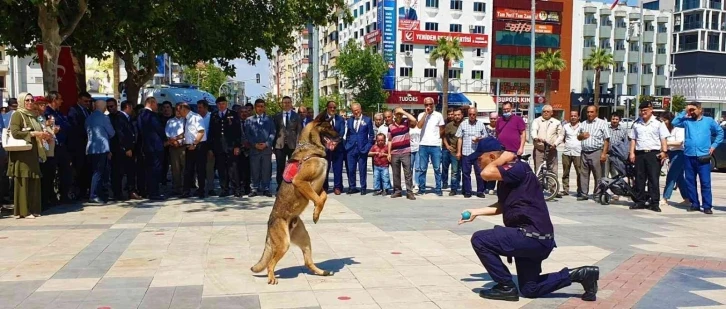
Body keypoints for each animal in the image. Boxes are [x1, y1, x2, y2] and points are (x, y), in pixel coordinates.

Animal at [252, 112, 342, 282]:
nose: (341, 138)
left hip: (305, 239)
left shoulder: (319, 187)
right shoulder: (300, 182)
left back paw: (321, 272)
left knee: (308, 262)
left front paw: (316, 213)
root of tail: (269, 226)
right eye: (329, 127)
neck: (311, 148)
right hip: (284, 244)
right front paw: (315, 214)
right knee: (271, 262)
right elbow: (319, 200)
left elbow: (323, 198)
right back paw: (272, 278)